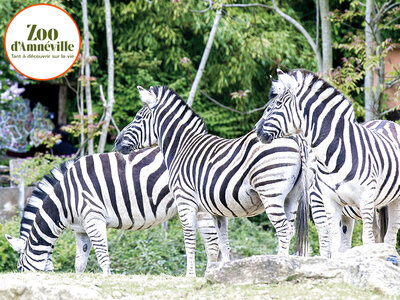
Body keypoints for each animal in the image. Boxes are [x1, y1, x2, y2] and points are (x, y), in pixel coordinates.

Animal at [4, 148, 227, 274]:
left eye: (19, 269)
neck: (65, 199)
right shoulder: (81, 229)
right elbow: (79, 263)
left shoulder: (93, 219)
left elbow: (103, 258)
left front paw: (106, 280)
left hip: (199, 205)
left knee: (212, 245)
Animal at [114, 85, 308, 276]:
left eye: (138, 117)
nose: (116, 142)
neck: (182, 147)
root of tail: (295, 138)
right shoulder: (217, 210)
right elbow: (223, 243)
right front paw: (225, 271)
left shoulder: (185, 202)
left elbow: (190, 242)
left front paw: (190, 276)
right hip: (292, 197)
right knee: (289, 229)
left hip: (270, 192)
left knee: (283, 229)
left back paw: (280, 265)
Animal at [256, 69, 400, 256]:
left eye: (278, 104)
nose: (257, 131)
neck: (334, 154)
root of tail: (387, 121)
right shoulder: (329, 201)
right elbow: (334, 244)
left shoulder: (365, 199)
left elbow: (365, 240)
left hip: (391, 200)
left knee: (389, 236)